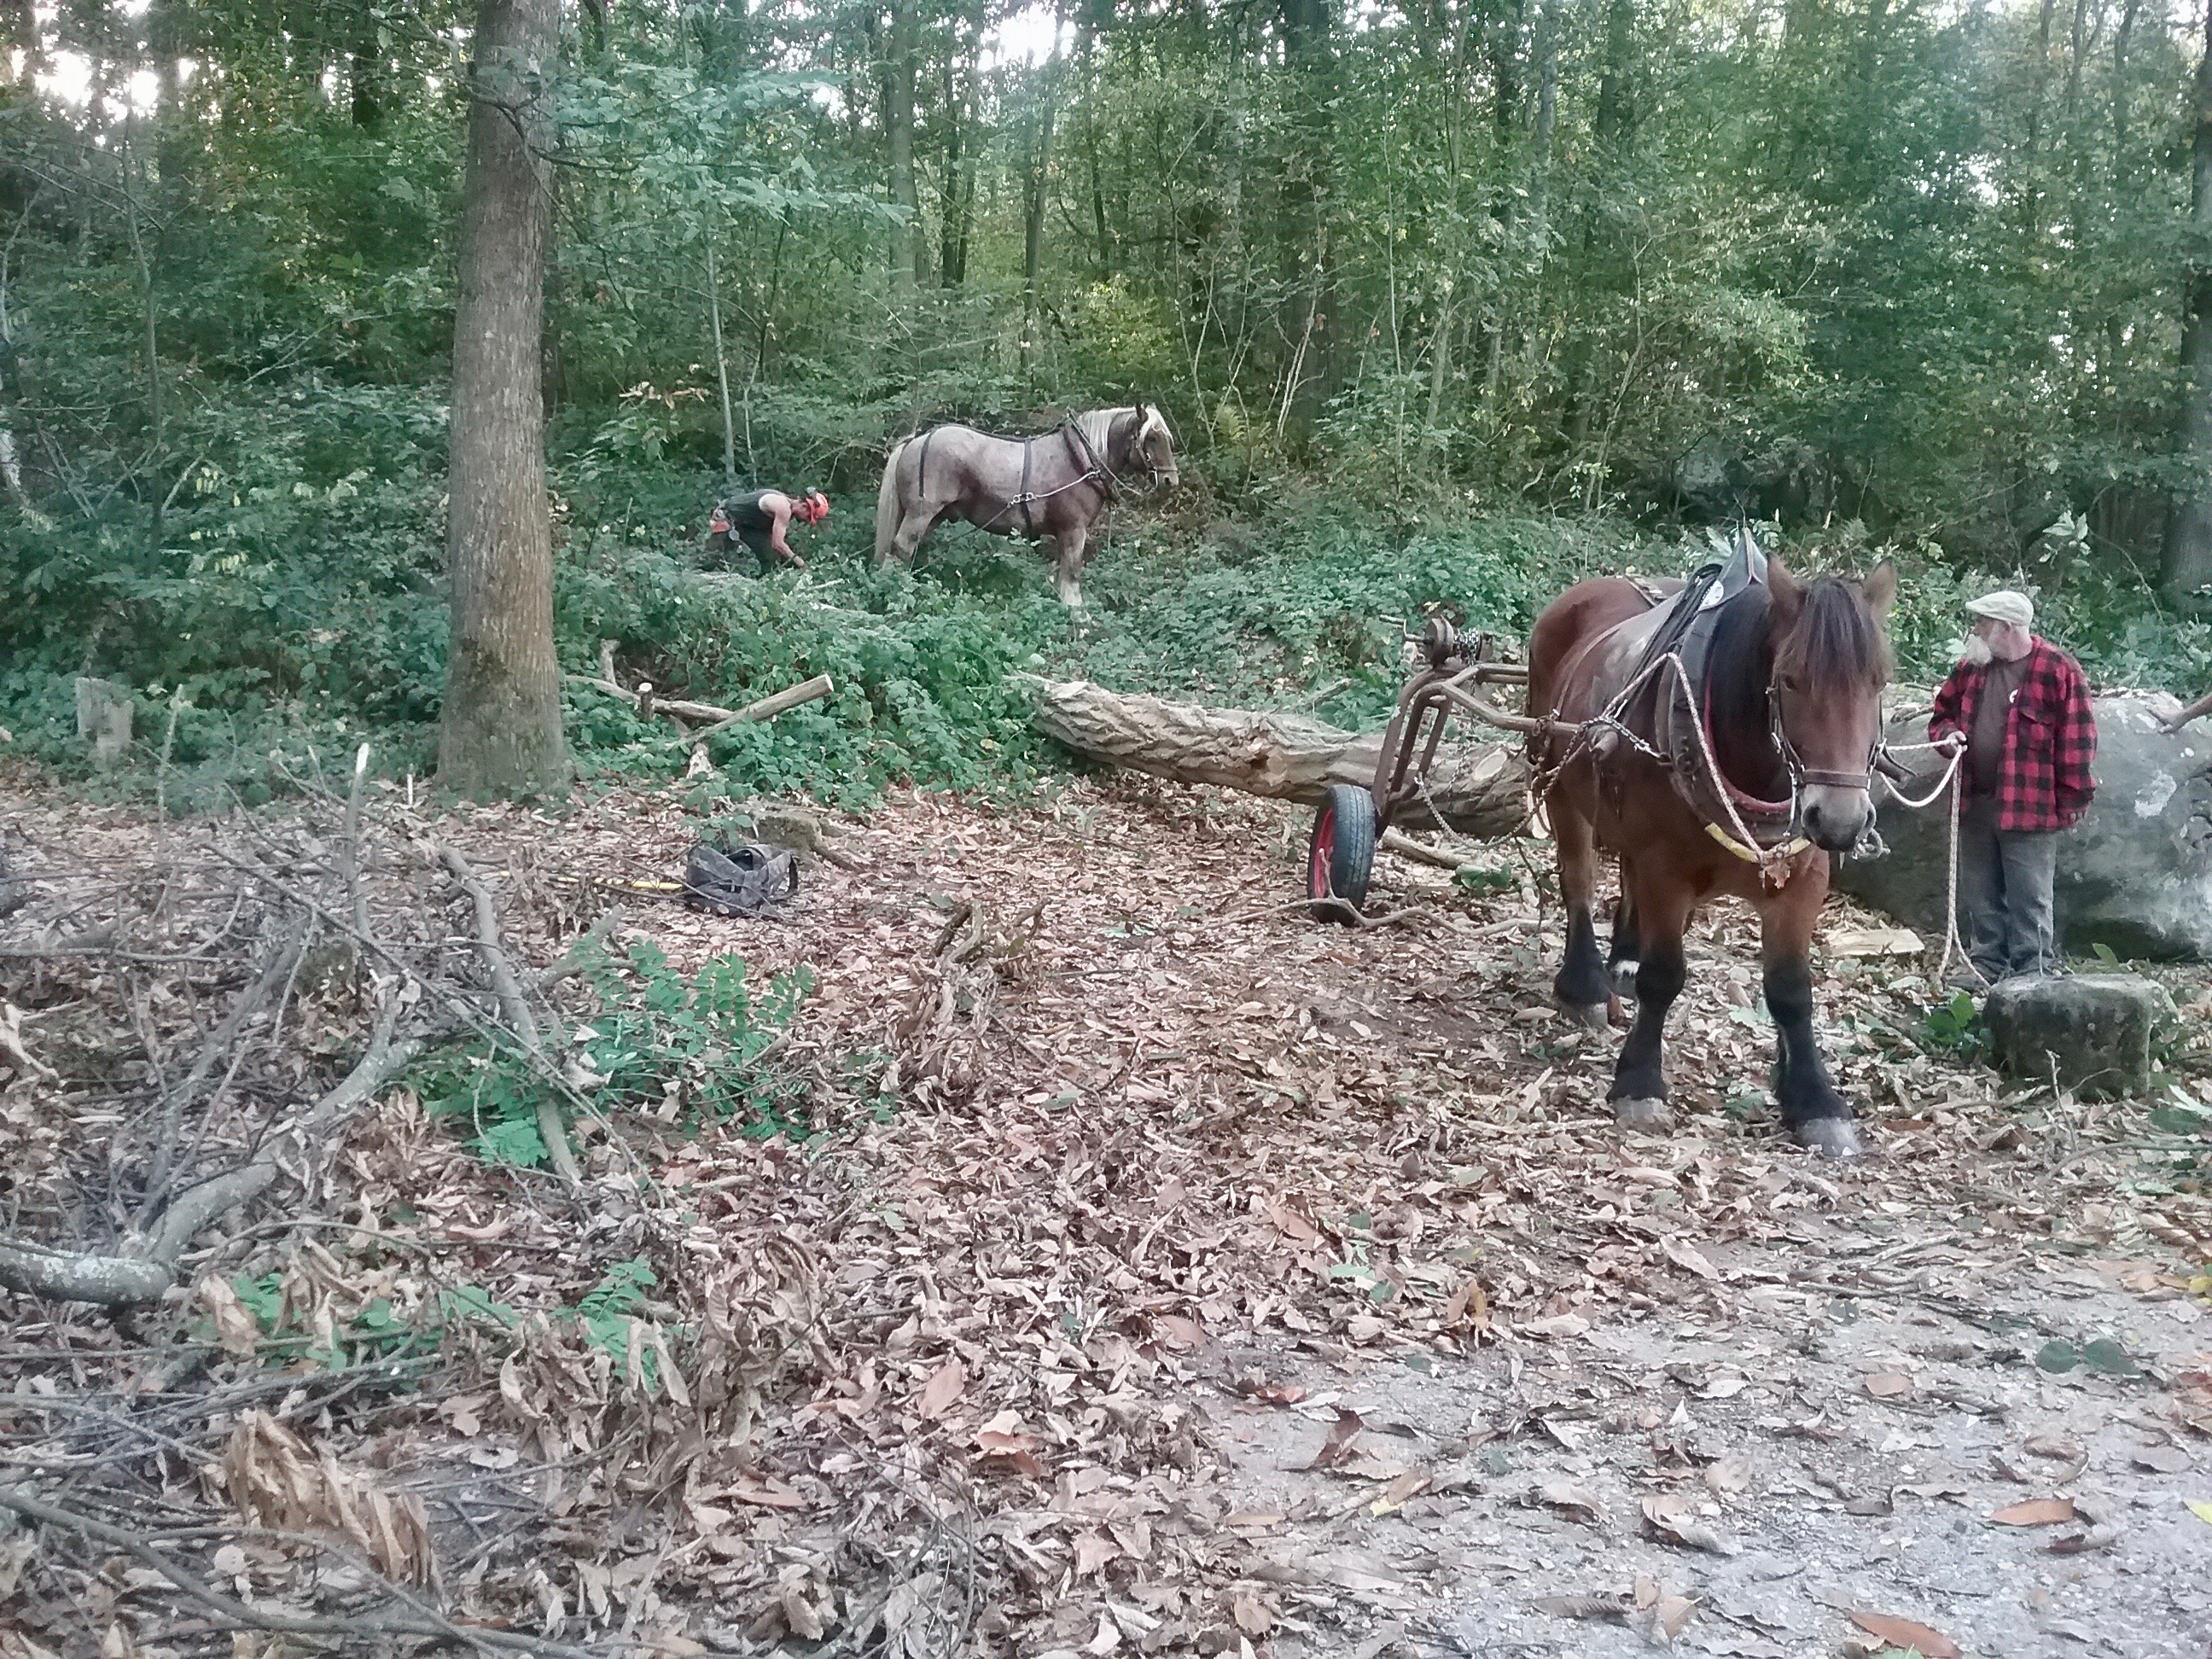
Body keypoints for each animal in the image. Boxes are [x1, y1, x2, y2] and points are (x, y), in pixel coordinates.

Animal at [1522, 559, 1902, 1159]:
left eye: (1878, 682)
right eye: (1790, 679)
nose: (1840, 820)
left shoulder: (1804, 879)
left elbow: (1791, 992)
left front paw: (1812, 1097)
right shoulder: (1665, 869)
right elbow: (1664, 977)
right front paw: (1640, 1081)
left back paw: (1623, 958)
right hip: (1558, 780)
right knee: (1578, 879)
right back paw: (1584, 982)